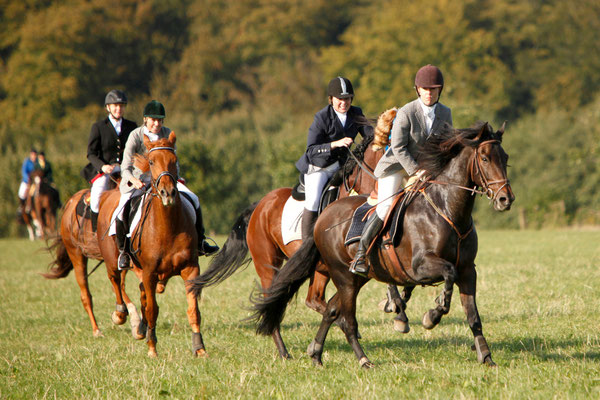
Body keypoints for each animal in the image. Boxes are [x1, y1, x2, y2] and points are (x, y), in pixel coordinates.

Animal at [95, 130, 204, 356]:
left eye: (174, 160)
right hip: (113, 261)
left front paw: (199, 348)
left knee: (140, 293)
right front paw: (152, 348)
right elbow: (153, 310)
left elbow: (193, 310)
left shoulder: (190, 269)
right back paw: (121, 314)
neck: (167, 227)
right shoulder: (150, 273)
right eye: (152, 161)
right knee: (116, 282)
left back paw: (140, 327)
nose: (168, 193)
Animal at [188, 110, 394, 360]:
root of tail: (260, 205)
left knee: (313, 300)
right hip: (268, 263)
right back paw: (284, 350)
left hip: (319, 269)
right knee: (274, 299)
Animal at [253, 122, 516, 368]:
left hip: (355, 278)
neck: (447, 210)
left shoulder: (468, 270)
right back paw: (362, 359)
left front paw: (486, 357)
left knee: (331, 309)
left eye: (505, 158)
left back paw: (316, 353)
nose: (506, 199)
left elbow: (473, 317)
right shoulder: (421, 267)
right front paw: (431, 315)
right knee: (346, 319)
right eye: (484, 158)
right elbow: (447, 275)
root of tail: (324, 217)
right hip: (337, 275)